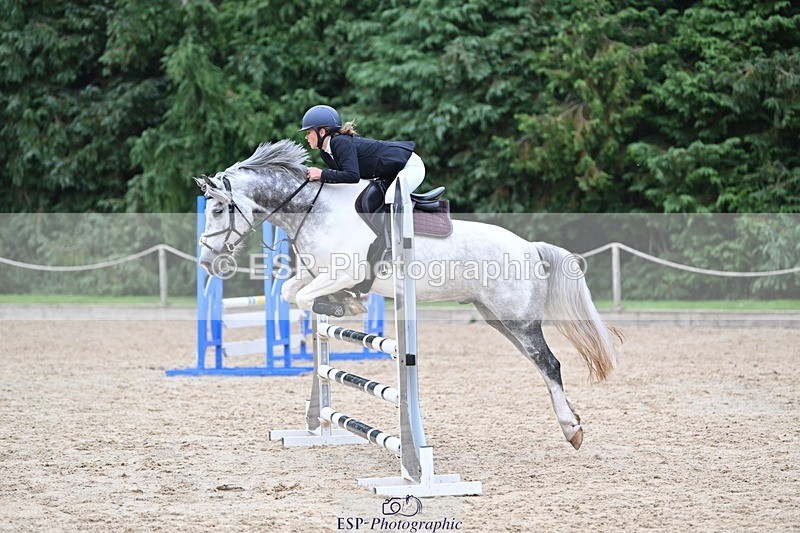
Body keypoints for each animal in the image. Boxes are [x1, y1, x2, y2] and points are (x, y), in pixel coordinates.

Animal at [195, 139, 622, 450]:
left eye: (217, 210)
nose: (207, 262)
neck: (314, 209)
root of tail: (530, 247)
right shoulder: (319, 274)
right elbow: (289, 292)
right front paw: (345, 302)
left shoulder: (343, 271)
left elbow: (304, 299)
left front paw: (344, 305)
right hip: (498, 320)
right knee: (539, 365)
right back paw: (573, 422)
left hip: (519, 320)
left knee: (550, 364)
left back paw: (571, 431)